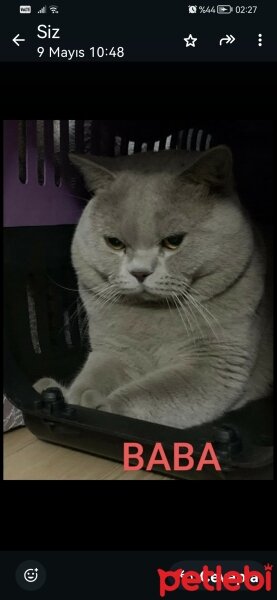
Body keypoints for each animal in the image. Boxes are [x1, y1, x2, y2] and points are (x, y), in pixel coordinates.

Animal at [34, 148, 272, 428]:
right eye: (114, 243)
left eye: (173, 241)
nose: (140, 272)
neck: (151, 318)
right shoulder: (112, 349)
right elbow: (93, 375)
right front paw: (72, 395)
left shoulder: (216, 364)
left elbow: (151, 392)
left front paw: (100, 404)